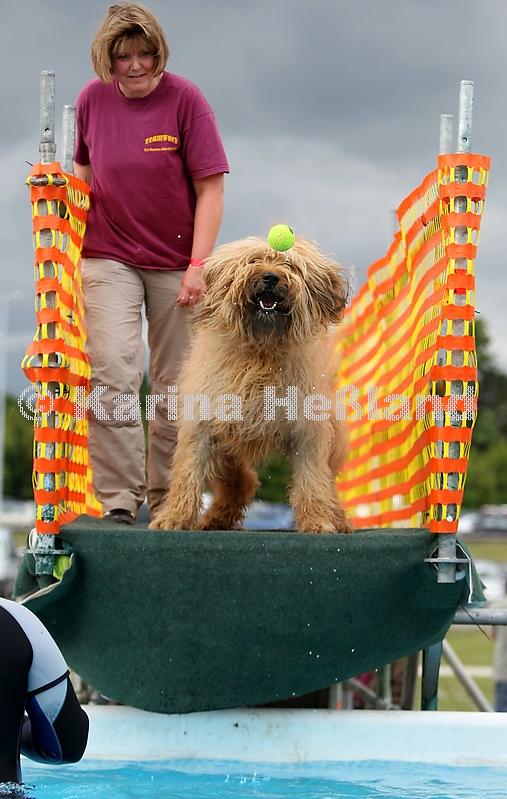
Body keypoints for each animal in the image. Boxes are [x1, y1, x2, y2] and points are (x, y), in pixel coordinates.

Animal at [149, 235, 353, 534]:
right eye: (253, 261)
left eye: (289, 265)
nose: (270, 277)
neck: (261, 352)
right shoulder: (204, 424)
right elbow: (189, 473)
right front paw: (174, 517)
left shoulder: (308, 432)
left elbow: (312, 481)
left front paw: (317, 521)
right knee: (242, 483)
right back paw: (215, 518)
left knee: (323, 482)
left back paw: (339, 519)